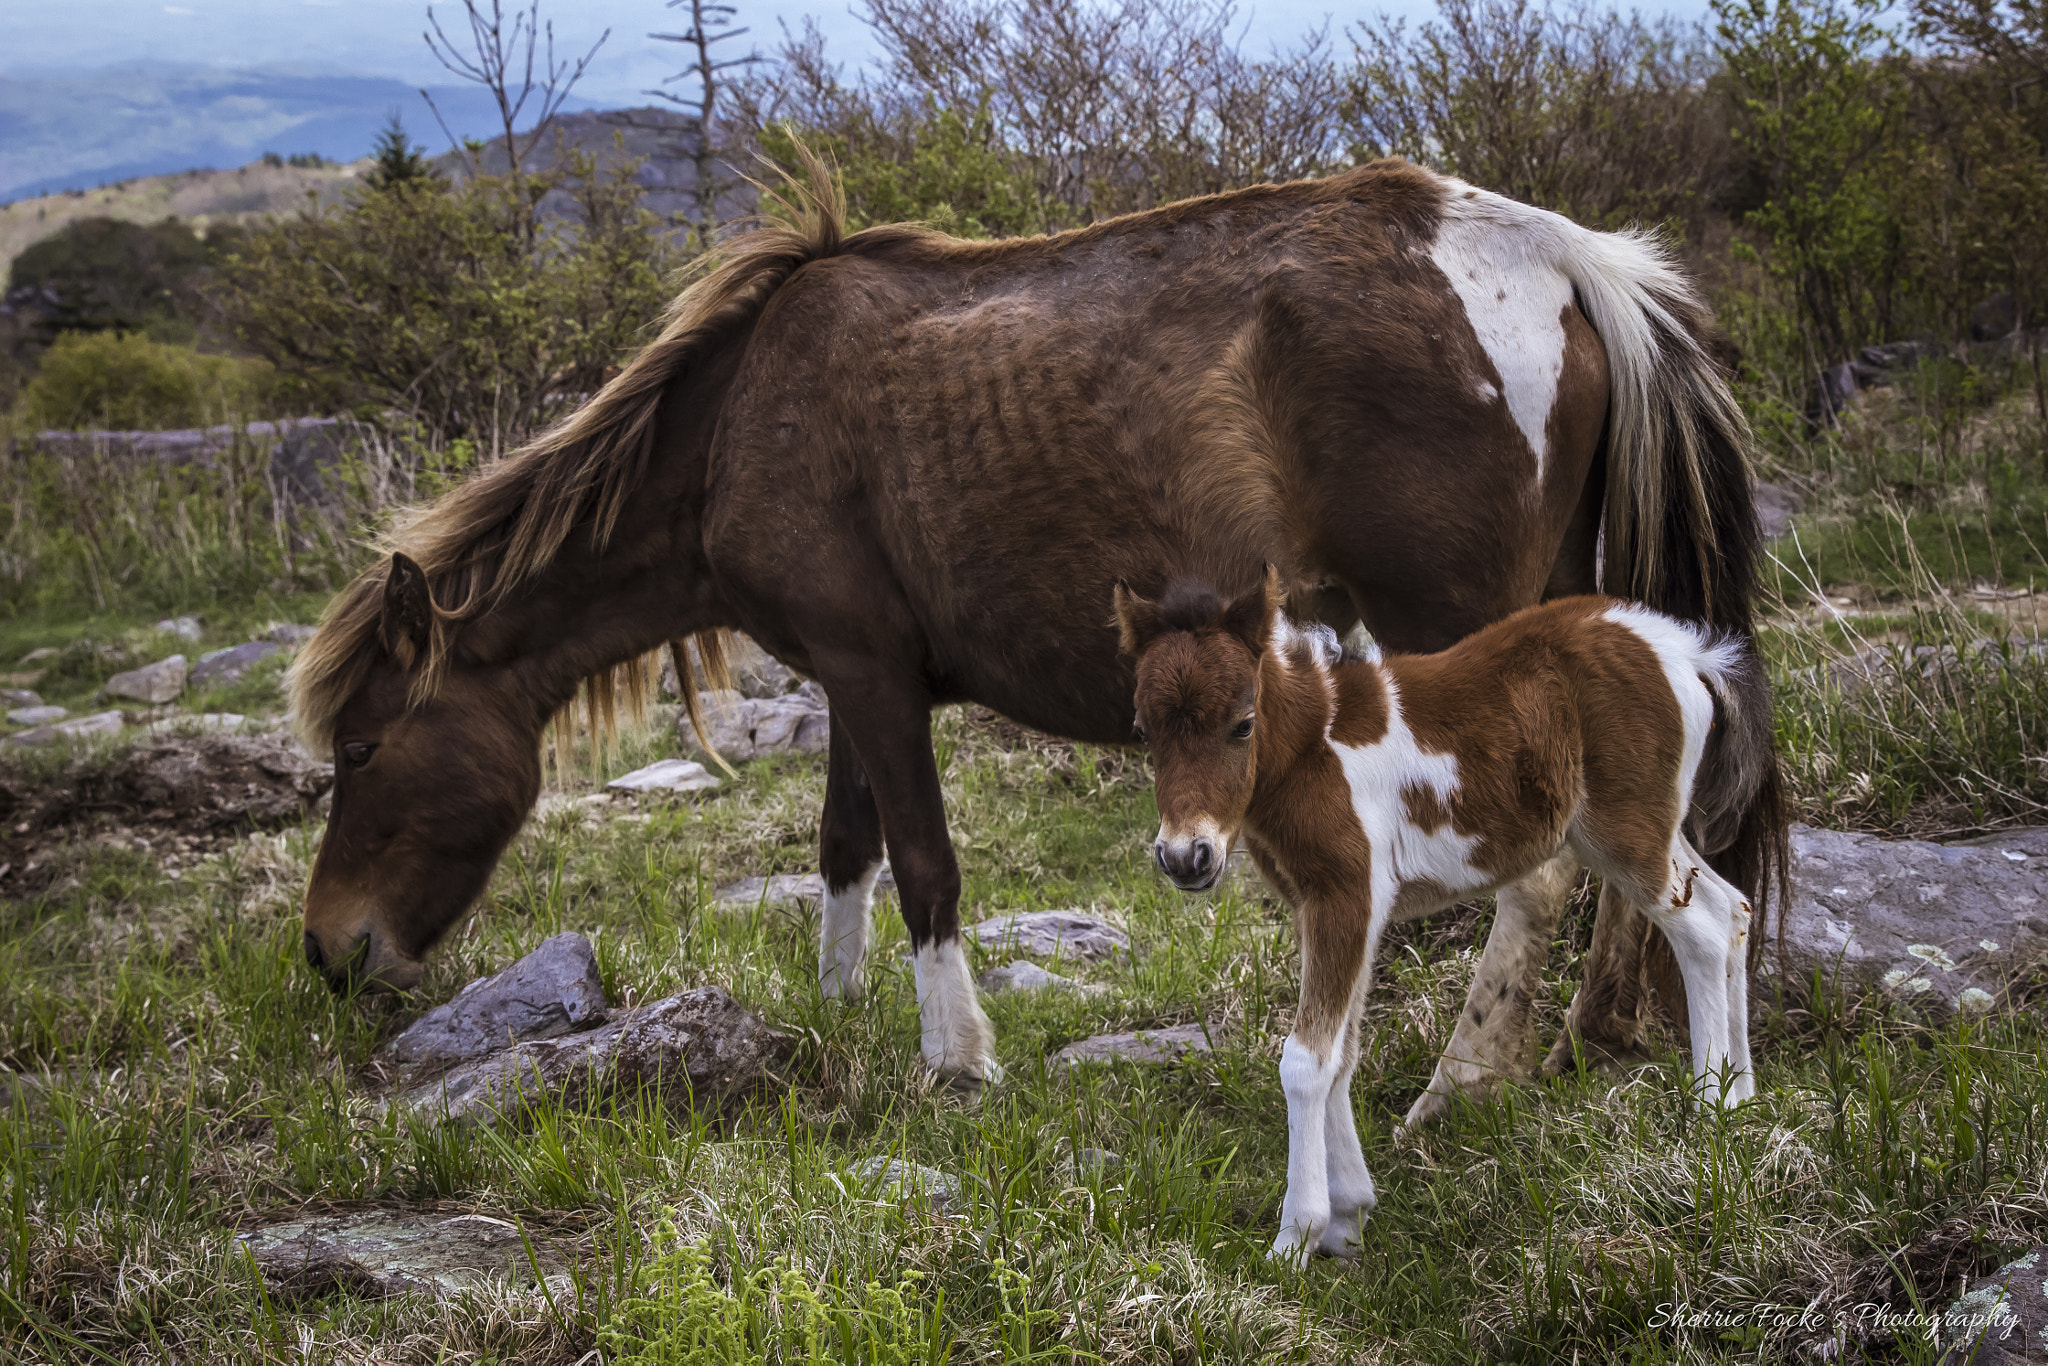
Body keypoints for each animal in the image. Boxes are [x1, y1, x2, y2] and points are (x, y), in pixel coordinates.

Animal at [290, 152, 1783, 1098]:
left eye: (359, 750)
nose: (328, 952)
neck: (737, 423)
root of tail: (1564, 257)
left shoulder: (873, 677)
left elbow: (923, 864)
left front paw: (957, 1058)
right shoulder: (853, 674)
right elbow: (846, 850)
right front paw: (843, 1013)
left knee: (1540, 868)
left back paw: (1469, 1074)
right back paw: (1592, 1033)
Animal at [1117, 573, 1762, 1261]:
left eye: (1242, 725)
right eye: (1144, 730)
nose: (1185, 857)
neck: (1316, 744)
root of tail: (1686, 652)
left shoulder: (1345, 896)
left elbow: (1307, 1060)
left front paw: (1296, 1239)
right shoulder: (1340, 910)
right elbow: (1343, 1052)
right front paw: (1349, 1219)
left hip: (1627, 835)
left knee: (1703, 932)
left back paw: (1710, 1114)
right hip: (1632, 835)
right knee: (1734, 908)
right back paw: (1742, 1103)